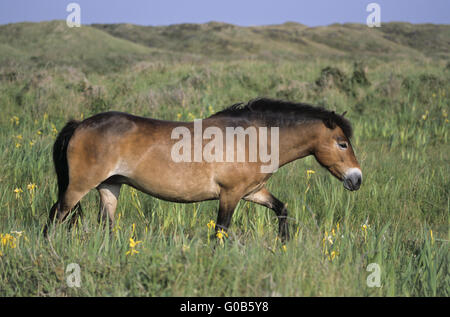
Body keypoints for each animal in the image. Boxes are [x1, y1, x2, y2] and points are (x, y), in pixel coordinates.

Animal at [45, 97, 362, 238]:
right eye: (342, 143)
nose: (357, 179)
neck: (253, 136)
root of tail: (80, 124)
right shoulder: (230, 195)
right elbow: (221, 230)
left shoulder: (252, 192)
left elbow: (282, 209)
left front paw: (283, 245)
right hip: (79, 186)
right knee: (56, 215)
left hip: (110, 185)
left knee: (107, 224)